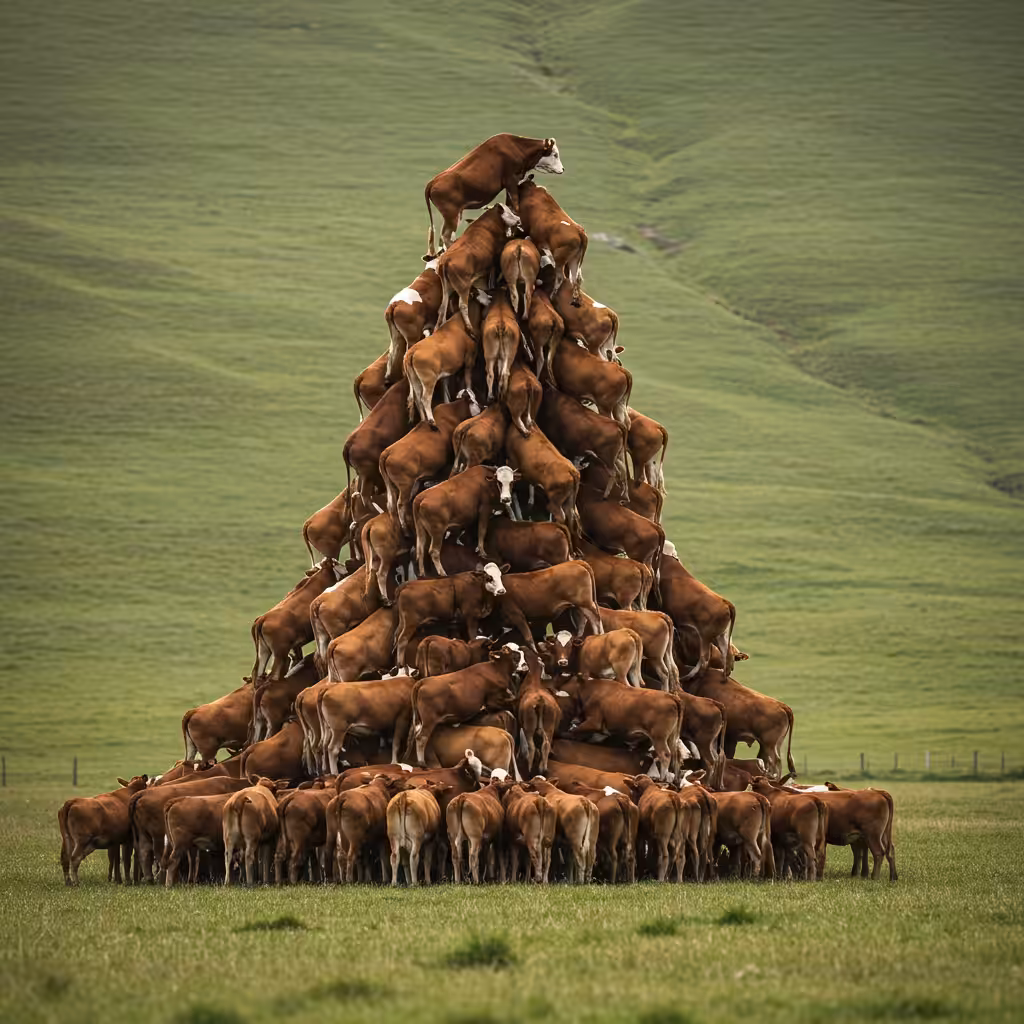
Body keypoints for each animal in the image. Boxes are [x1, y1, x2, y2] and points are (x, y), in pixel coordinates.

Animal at [379, 395, 477, 531]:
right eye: (474, 401)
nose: (484, 406)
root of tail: (387, 452)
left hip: (392, 485)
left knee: (391, 504)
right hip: (405, 486)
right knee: (400, 504)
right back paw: (404, 527)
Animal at [424, 134, 563, 254]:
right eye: (555, 154)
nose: (562, 169)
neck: (516, 147)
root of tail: (434, 181)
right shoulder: (511, 180)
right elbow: (515, 203)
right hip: (452, 215)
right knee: (446, 236)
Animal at [661, 542, 738, 678]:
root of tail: (725, 602)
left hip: (706, 636)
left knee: (705, 659)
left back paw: (689, 676)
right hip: (720, 635)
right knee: (726, 654)